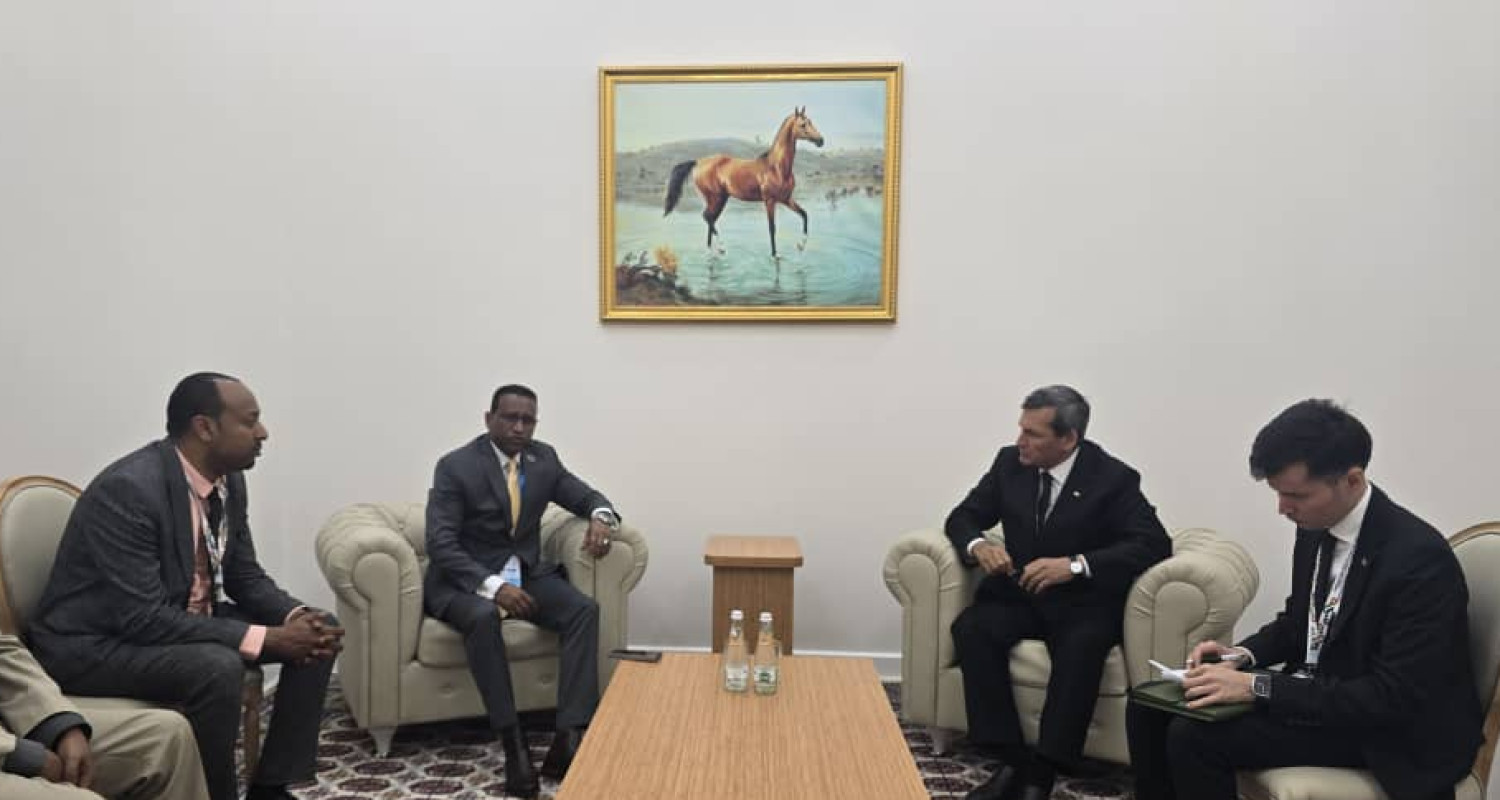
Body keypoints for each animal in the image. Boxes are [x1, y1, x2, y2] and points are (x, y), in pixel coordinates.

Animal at [662, 106, 824, 258]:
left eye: (811, 122)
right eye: (803, 124)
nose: (821, 140)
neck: (776, 167)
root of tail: (698, 162)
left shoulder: (786, 199)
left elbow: (804, 215)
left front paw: (800, 246)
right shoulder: (770, 201)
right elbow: (772, 227)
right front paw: (775, 254)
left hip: (720, 199)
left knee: (710, 219)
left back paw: (711, 251)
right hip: (715, 198)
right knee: (707, 217)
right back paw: (721, 248)